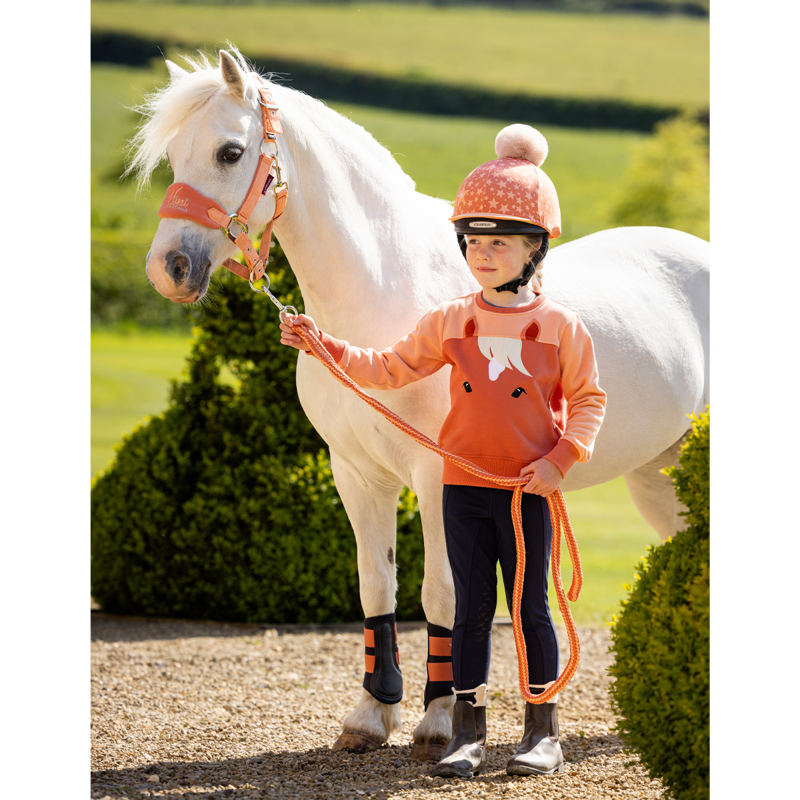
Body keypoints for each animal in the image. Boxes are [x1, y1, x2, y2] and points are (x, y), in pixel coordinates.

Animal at [129, 48, 709, 758]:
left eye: (230, 151)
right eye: (174, 156)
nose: (169, 269)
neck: (383, 292)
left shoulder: (438, 479)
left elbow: (443, 593)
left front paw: (436, 720)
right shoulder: (355, 474)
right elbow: (377, 586)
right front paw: (372, 714)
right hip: (660, 476)